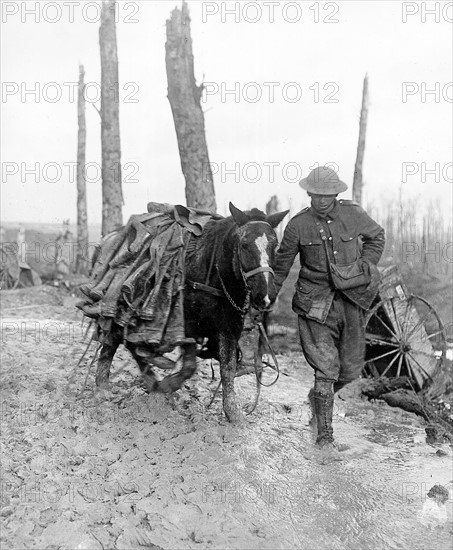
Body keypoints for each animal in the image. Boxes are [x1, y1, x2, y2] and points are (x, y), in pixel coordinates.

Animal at [77, 205, 286, 424]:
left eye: (276, 246)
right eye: (245, 245)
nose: (266, 296)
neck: (211, 272)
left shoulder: (229, 328)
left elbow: (227, 368)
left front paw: (233, 414)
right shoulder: (187, 326)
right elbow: (189, 366)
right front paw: (168, 386)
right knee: (121, 341)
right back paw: (115, 385)